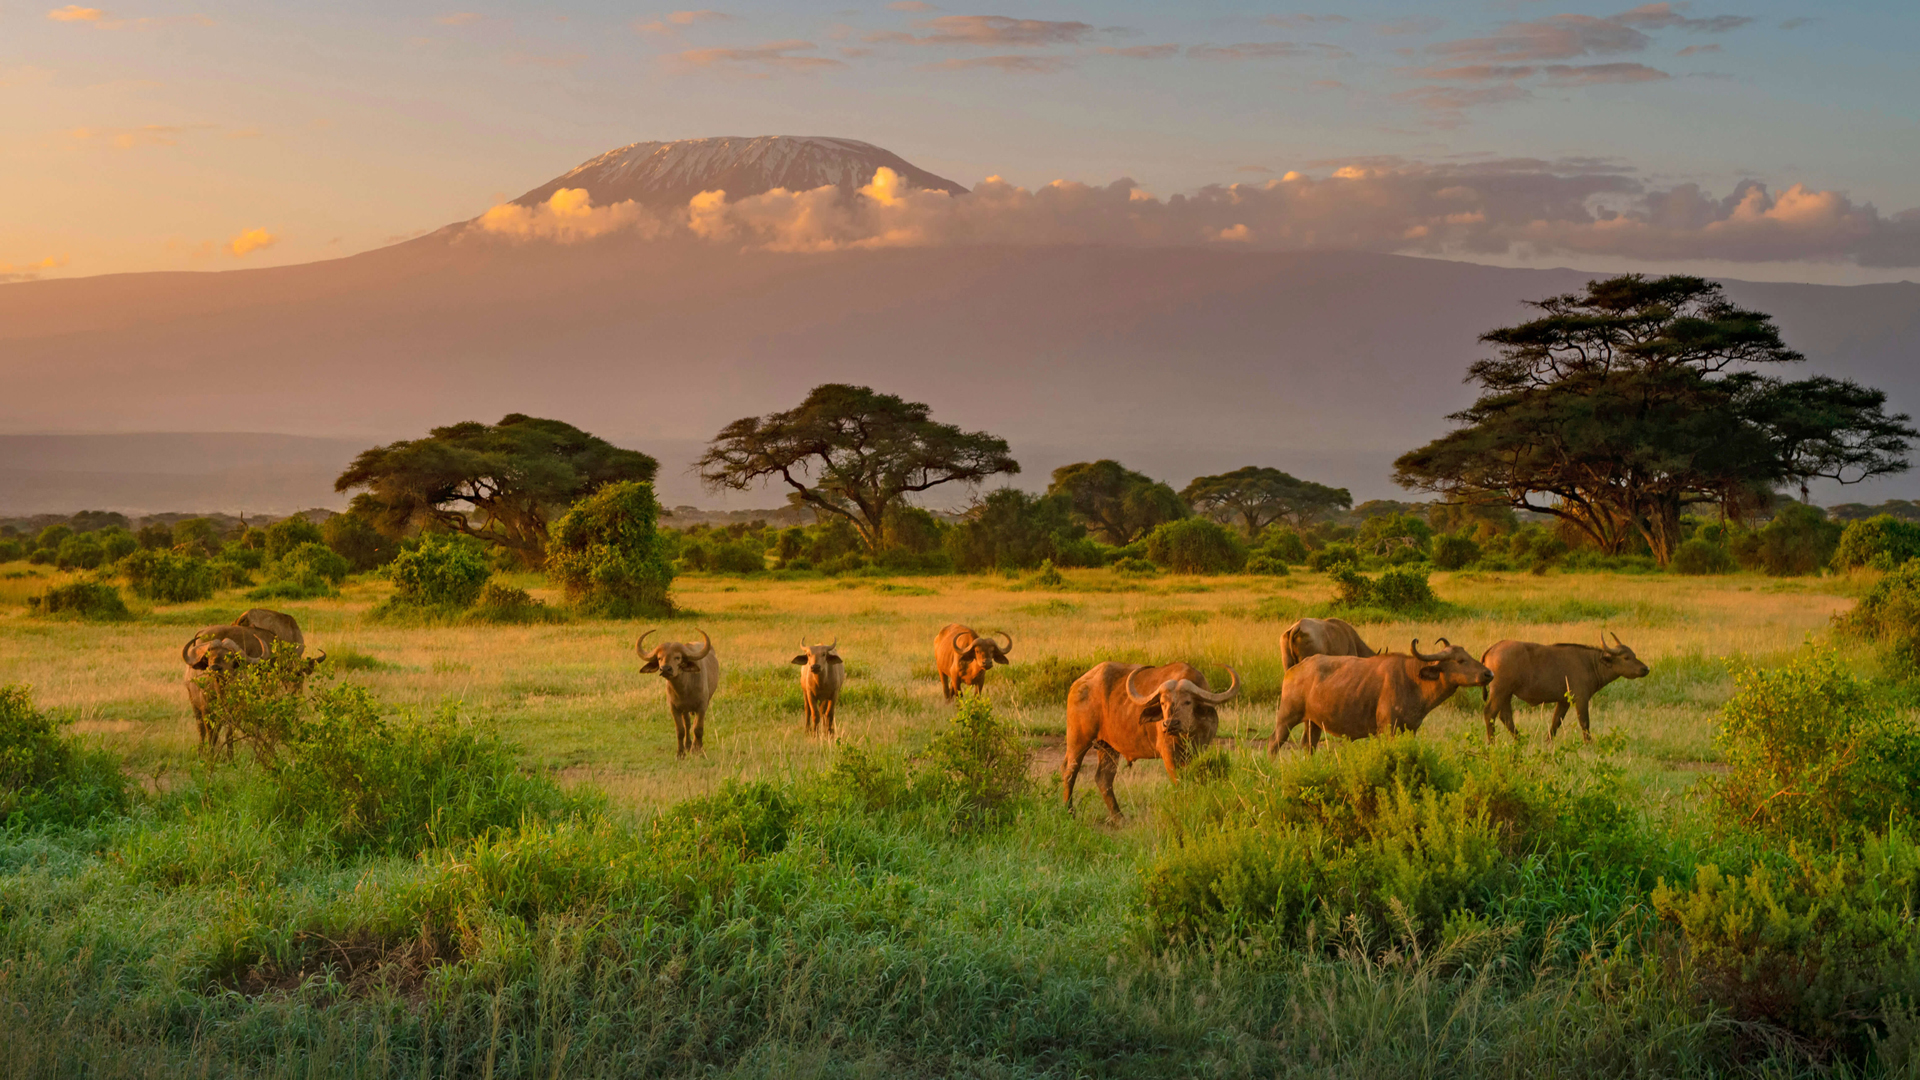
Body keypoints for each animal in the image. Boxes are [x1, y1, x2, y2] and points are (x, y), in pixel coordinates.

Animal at [1067, 657, 1244, 814]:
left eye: (1187, 702)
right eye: (1163, 703)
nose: (1170, 724)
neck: (1187, 733)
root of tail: (1077, 685)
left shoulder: (1198, 750)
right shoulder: (1168, 753)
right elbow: (1179, 781)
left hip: (1108, 747)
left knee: (1104, 778)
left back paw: (1119, 818)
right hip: (1078, 741)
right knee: (1069, 772)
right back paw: (1070, 812)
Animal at [1274, 634, 1497, 753]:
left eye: (1468, 655)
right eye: (1460, 661)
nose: (1489, 673)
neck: (1413, 680)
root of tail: (1293, 670)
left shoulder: (1411, 729)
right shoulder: (1387, 728)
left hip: (1313, 723)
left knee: (1308, 745)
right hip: (1286, 719)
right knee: (1273, 744)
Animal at [1482, 630, 1651, 737]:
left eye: (1634, 655)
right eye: (1626, 658)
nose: (1645, 669)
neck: (1590, 664)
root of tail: (1493, 648)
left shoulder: (1563, 701)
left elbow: (1555, 722)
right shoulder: (1581, 699)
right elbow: (1585, 723)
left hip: (1506, 694)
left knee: (1505, 717)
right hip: (1500, 691)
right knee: (1490, 713)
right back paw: (1492, 743)